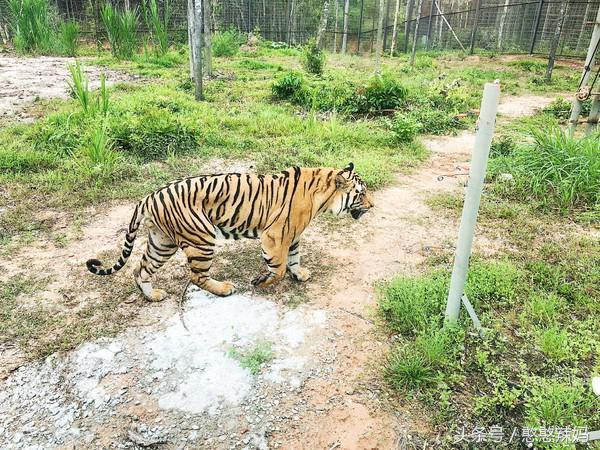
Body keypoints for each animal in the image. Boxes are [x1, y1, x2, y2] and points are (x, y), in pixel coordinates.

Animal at [86, 163, 372, 300]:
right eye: (361, 193)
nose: (372, 205)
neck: (323, 196)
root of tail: (148, 197)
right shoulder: (274, 235)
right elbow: (278, 268)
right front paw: (262, 281)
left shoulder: (292, 235)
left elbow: (293, 258)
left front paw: (299, 274)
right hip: (201, 239)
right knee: (196, 276)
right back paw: (224, 289)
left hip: (162, 242)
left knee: (140, 270)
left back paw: (152, 296)